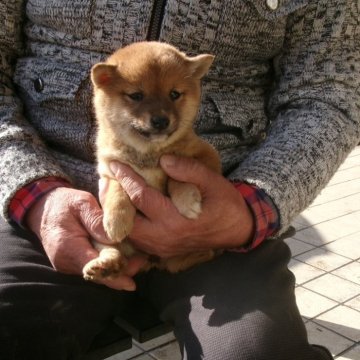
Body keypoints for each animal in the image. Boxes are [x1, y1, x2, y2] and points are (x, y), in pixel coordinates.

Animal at [83, 41, 221, 282]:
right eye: (136, 95)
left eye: (174, 94)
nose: (160, 120)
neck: (148, 154)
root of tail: (152, 260)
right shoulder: (110, 169)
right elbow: (118, 190)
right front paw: (117, 220)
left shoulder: (207, 156)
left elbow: (178, 176)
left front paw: (187, 199)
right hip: (101, 239)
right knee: (111, 250)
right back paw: (106, 265)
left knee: (196, 256)